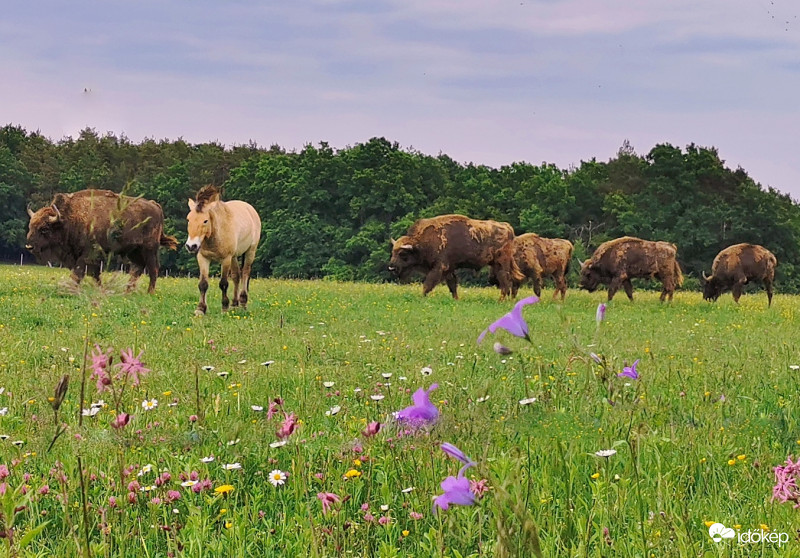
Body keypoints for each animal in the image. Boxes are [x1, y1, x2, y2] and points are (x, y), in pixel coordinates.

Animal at [25, 188, 177, 294]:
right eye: (31, 226)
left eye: (44, 229)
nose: (29, 246)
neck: (69, 218)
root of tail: (155, 205)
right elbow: (94, 274)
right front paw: (100, 289)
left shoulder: (88, 254)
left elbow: (80, 272)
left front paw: (71, 289)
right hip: (134, 251)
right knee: (137, 268)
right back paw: (127, 291)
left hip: (150, 249)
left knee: (153, 268)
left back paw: (149, 292)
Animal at [185, 187, 260, 316]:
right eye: (188, 219)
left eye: (205, 221)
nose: (191, 246)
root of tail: (250, 208)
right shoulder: (203, 258)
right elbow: (203, 284)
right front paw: (200, 309)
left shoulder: (225, 259)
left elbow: (223, 284)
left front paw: (224, 307)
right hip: (234, 257)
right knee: (236, 276)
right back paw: (234, 304)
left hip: (250, 252)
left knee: (245, 273)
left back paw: (243, 303)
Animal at [388, 215, 524, 302]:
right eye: (393, 252)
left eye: (402, 254)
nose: (391, 267)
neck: (421, 243)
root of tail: (508, 227)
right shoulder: (449, 269)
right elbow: (452, 285)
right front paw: (456, 299)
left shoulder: (439, 267)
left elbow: (428, 284)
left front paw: (422, 297)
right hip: (495, 264)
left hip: (501, 263)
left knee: (505, 281)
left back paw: (500, 300)